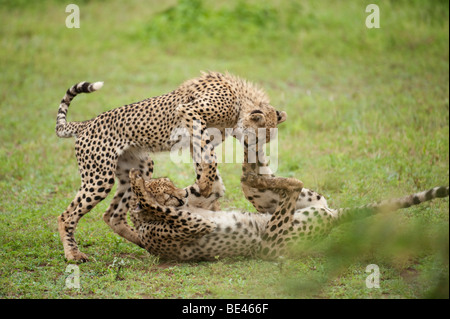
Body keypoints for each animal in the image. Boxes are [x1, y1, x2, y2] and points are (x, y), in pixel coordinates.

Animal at [54, 71, 286, 262]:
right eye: (256, 138)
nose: (255, 153)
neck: (238, 100)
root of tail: (86, 123)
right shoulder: (190, 111)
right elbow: (210, 158)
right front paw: (205, 188)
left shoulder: (195, 136)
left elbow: (204, 158)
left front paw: (205, 191)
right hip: (100, 177)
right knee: (67, 216)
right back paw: (73, 254)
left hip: (139, 168)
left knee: (113, 215)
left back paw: (143, 240)